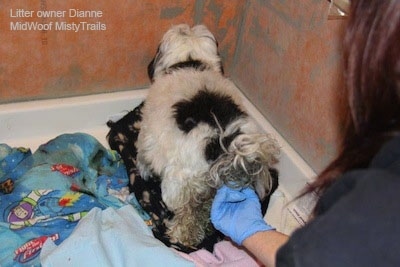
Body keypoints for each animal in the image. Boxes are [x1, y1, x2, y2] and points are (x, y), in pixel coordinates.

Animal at [136, 24, 280, 250]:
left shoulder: (148, 134)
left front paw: (142, 170)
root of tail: (222, 143)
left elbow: (142, 154)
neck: (190, 62)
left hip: (179, 183)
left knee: (187, 213)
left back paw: (181, 235)